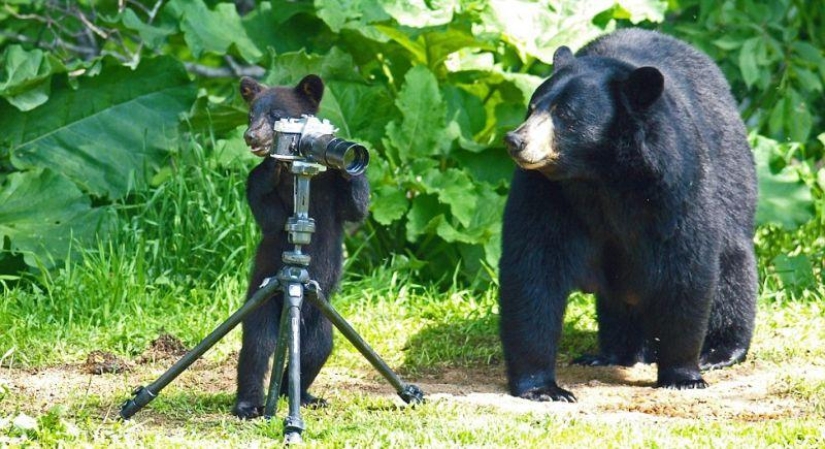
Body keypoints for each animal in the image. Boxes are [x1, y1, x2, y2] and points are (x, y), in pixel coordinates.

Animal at [235, 74, 370, 416]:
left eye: (276, 115)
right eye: (251, 115)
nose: (251, 136)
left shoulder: (332, 194)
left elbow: (357, 208)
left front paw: (348, 162)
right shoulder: (259, 189)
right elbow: (270, 218)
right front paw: (272, 167)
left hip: (320, 320)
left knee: (315, 351)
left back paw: (302, 395)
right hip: (264, 300)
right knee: (257, 347)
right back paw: (248, 403)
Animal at [498, 28, 756, 400]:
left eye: (566, 115)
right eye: (532, 107)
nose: (515, 140)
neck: (602, 175)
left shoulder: (673, 182)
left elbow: (685, 266)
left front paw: (683, 375)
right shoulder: (546, 193)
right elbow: (534, 268)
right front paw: (543, 387)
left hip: (732, 169)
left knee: (732, 263)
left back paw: (720, 350)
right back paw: (613, 353)